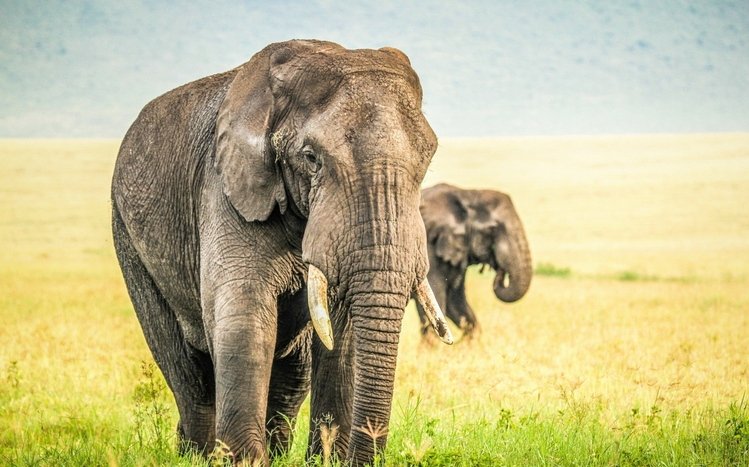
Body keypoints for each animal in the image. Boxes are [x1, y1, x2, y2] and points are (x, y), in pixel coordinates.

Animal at [111, 40, 453, 466]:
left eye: (428, 159)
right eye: (311, 158)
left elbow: (342, 334)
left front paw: (326, 460)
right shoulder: (224, 186)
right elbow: (244, 316)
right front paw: (244, 461)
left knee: (292, 374)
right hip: (127, 235)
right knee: (187, 373)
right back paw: (195, 455)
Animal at [415, 183, 532, 339]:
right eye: (493, 229)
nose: (500, 271)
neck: (467, 194)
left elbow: (456, 305)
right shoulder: (428, 249)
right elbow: (436, 304)